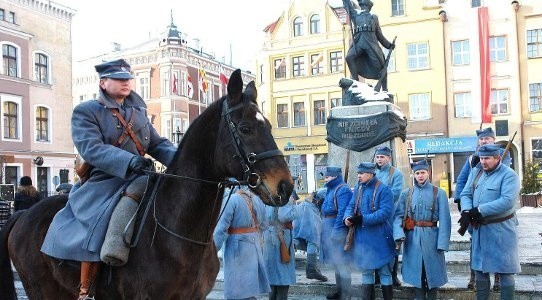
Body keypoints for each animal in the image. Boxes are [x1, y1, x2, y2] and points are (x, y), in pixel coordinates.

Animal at [0, 69, 296, 298]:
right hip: (44, 290)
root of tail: (24, 214)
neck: (179, 234)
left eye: (269, 126)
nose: (286, 186)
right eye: (245, 128)